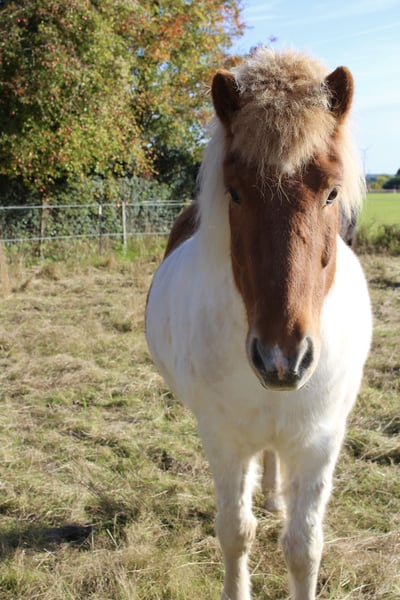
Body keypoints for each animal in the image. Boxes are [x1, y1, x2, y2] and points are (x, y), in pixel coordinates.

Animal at [146, 48, 372, 600]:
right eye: (235, 193)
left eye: (331, 193)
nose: (282, 358)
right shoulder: (225, 441)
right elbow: (235, 533)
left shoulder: (320, 442)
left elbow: (304, 547)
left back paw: (275, 498)